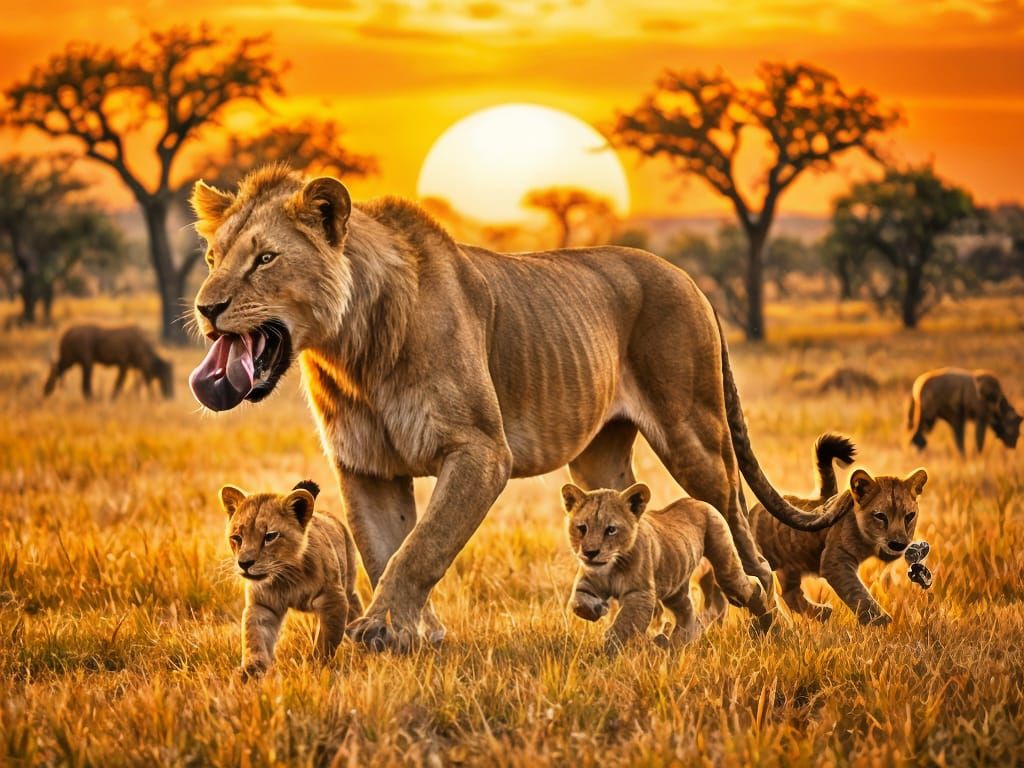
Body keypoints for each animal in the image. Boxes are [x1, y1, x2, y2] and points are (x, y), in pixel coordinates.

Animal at [43, 323, 174, 400]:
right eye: (166, 375)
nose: (171, 395)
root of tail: (68, 333)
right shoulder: (124, 365)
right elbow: (119, 384)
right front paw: (113, 398)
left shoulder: (130, 366)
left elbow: (134, 384)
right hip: (84, 362)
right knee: (84, 383)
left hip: (73, 360)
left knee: (57, 368)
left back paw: (47, 390)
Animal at [220, 479, 362, 680]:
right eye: (236, 538)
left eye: (270, 536)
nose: (244, 563)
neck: (286, 578)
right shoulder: (262, 605)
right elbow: (253, 638)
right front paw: (251, 672)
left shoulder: (333, 599)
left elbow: (326, 640)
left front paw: (316, 668)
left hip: (347, 579)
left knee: (354, 601)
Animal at [562, 483, 775, 651]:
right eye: (582, 528)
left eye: (611, 530)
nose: (590, 552)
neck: (611, 566)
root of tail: (697, 500)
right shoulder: (587, 582)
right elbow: (578, 602)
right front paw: (595, 610)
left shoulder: (640, 595)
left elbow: (624, 624)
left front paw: (609, 651)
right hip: (676, 587)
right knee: (688, 613)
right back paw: (678, 644)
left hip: (724, 563)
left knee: (746, 583)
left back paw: (762, 605)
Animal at [749, 433, 928, 626]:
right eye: (880, 516)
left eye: (909, 516)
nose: (898, 544)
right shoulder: (836, 560)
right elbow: (857, 592)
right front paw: (879, 620)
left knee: (790, 591)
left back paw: (820, 612)